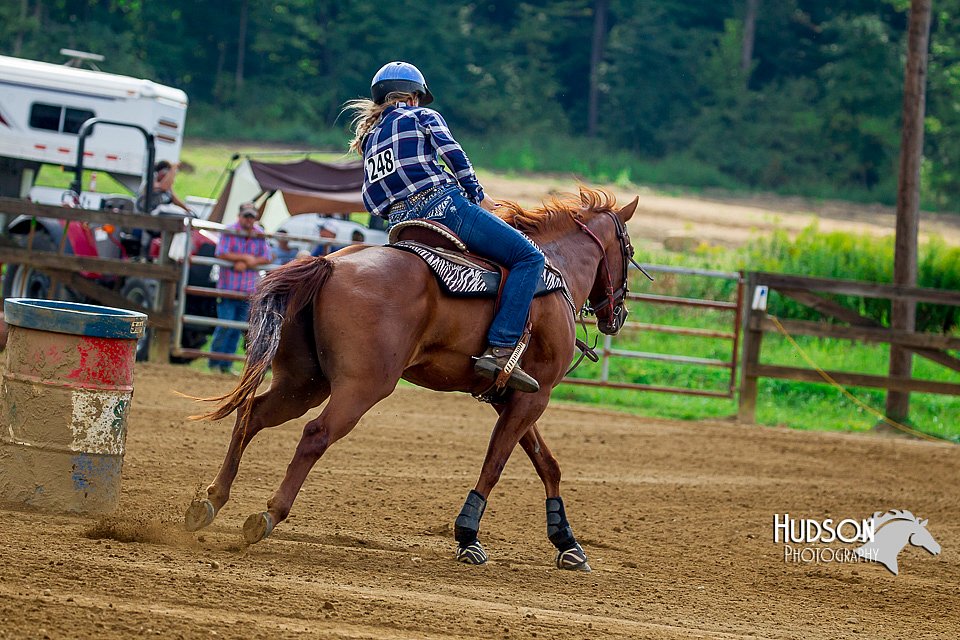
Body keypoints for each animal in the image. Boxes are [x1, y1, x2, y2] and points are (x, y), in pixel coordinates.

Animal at [186, 188, 636, 572]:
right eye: (628, 251)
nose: (618, 314)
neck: (554, 274)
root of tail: (331, 263)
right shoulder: (533, 398)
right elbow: (495, 465)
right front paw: (468, 537)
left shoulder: (512, 397)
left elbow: (547, 464)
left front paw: (568, 544)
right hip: (362, 386)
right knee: (314, 434)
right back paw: (267, 515)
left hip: (304, 383)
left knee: (252, 416)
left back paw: (210, 500)